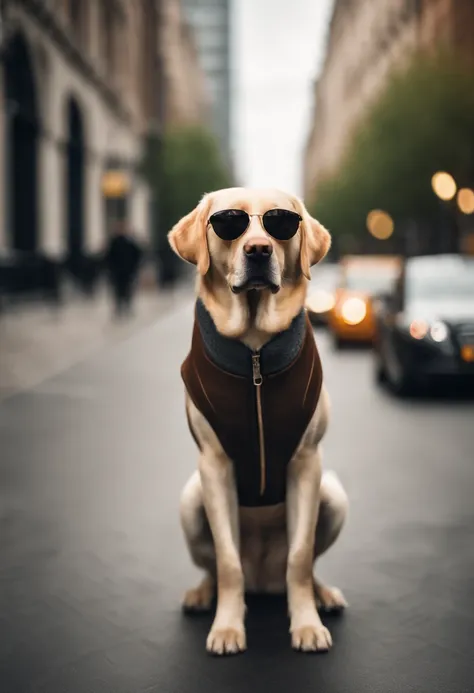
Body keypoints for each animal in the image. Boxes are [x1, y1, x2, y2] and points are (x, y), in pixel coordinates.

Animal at [168, 188, 346, 656]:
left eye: (280, 222)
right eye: (226, 222)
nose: (259, 249)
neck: (254, 354)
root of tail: (264, 582)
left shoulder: (307, 463)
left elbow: (300, 557)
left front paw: (306, 624)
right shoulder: (214, 465)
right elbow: (228, 562)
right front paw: (228, 627)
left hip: (333, 495)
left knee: (305, 565)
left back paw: (321, 594)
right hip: (190, 500)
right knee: (216, 568)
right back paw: (203, 594)